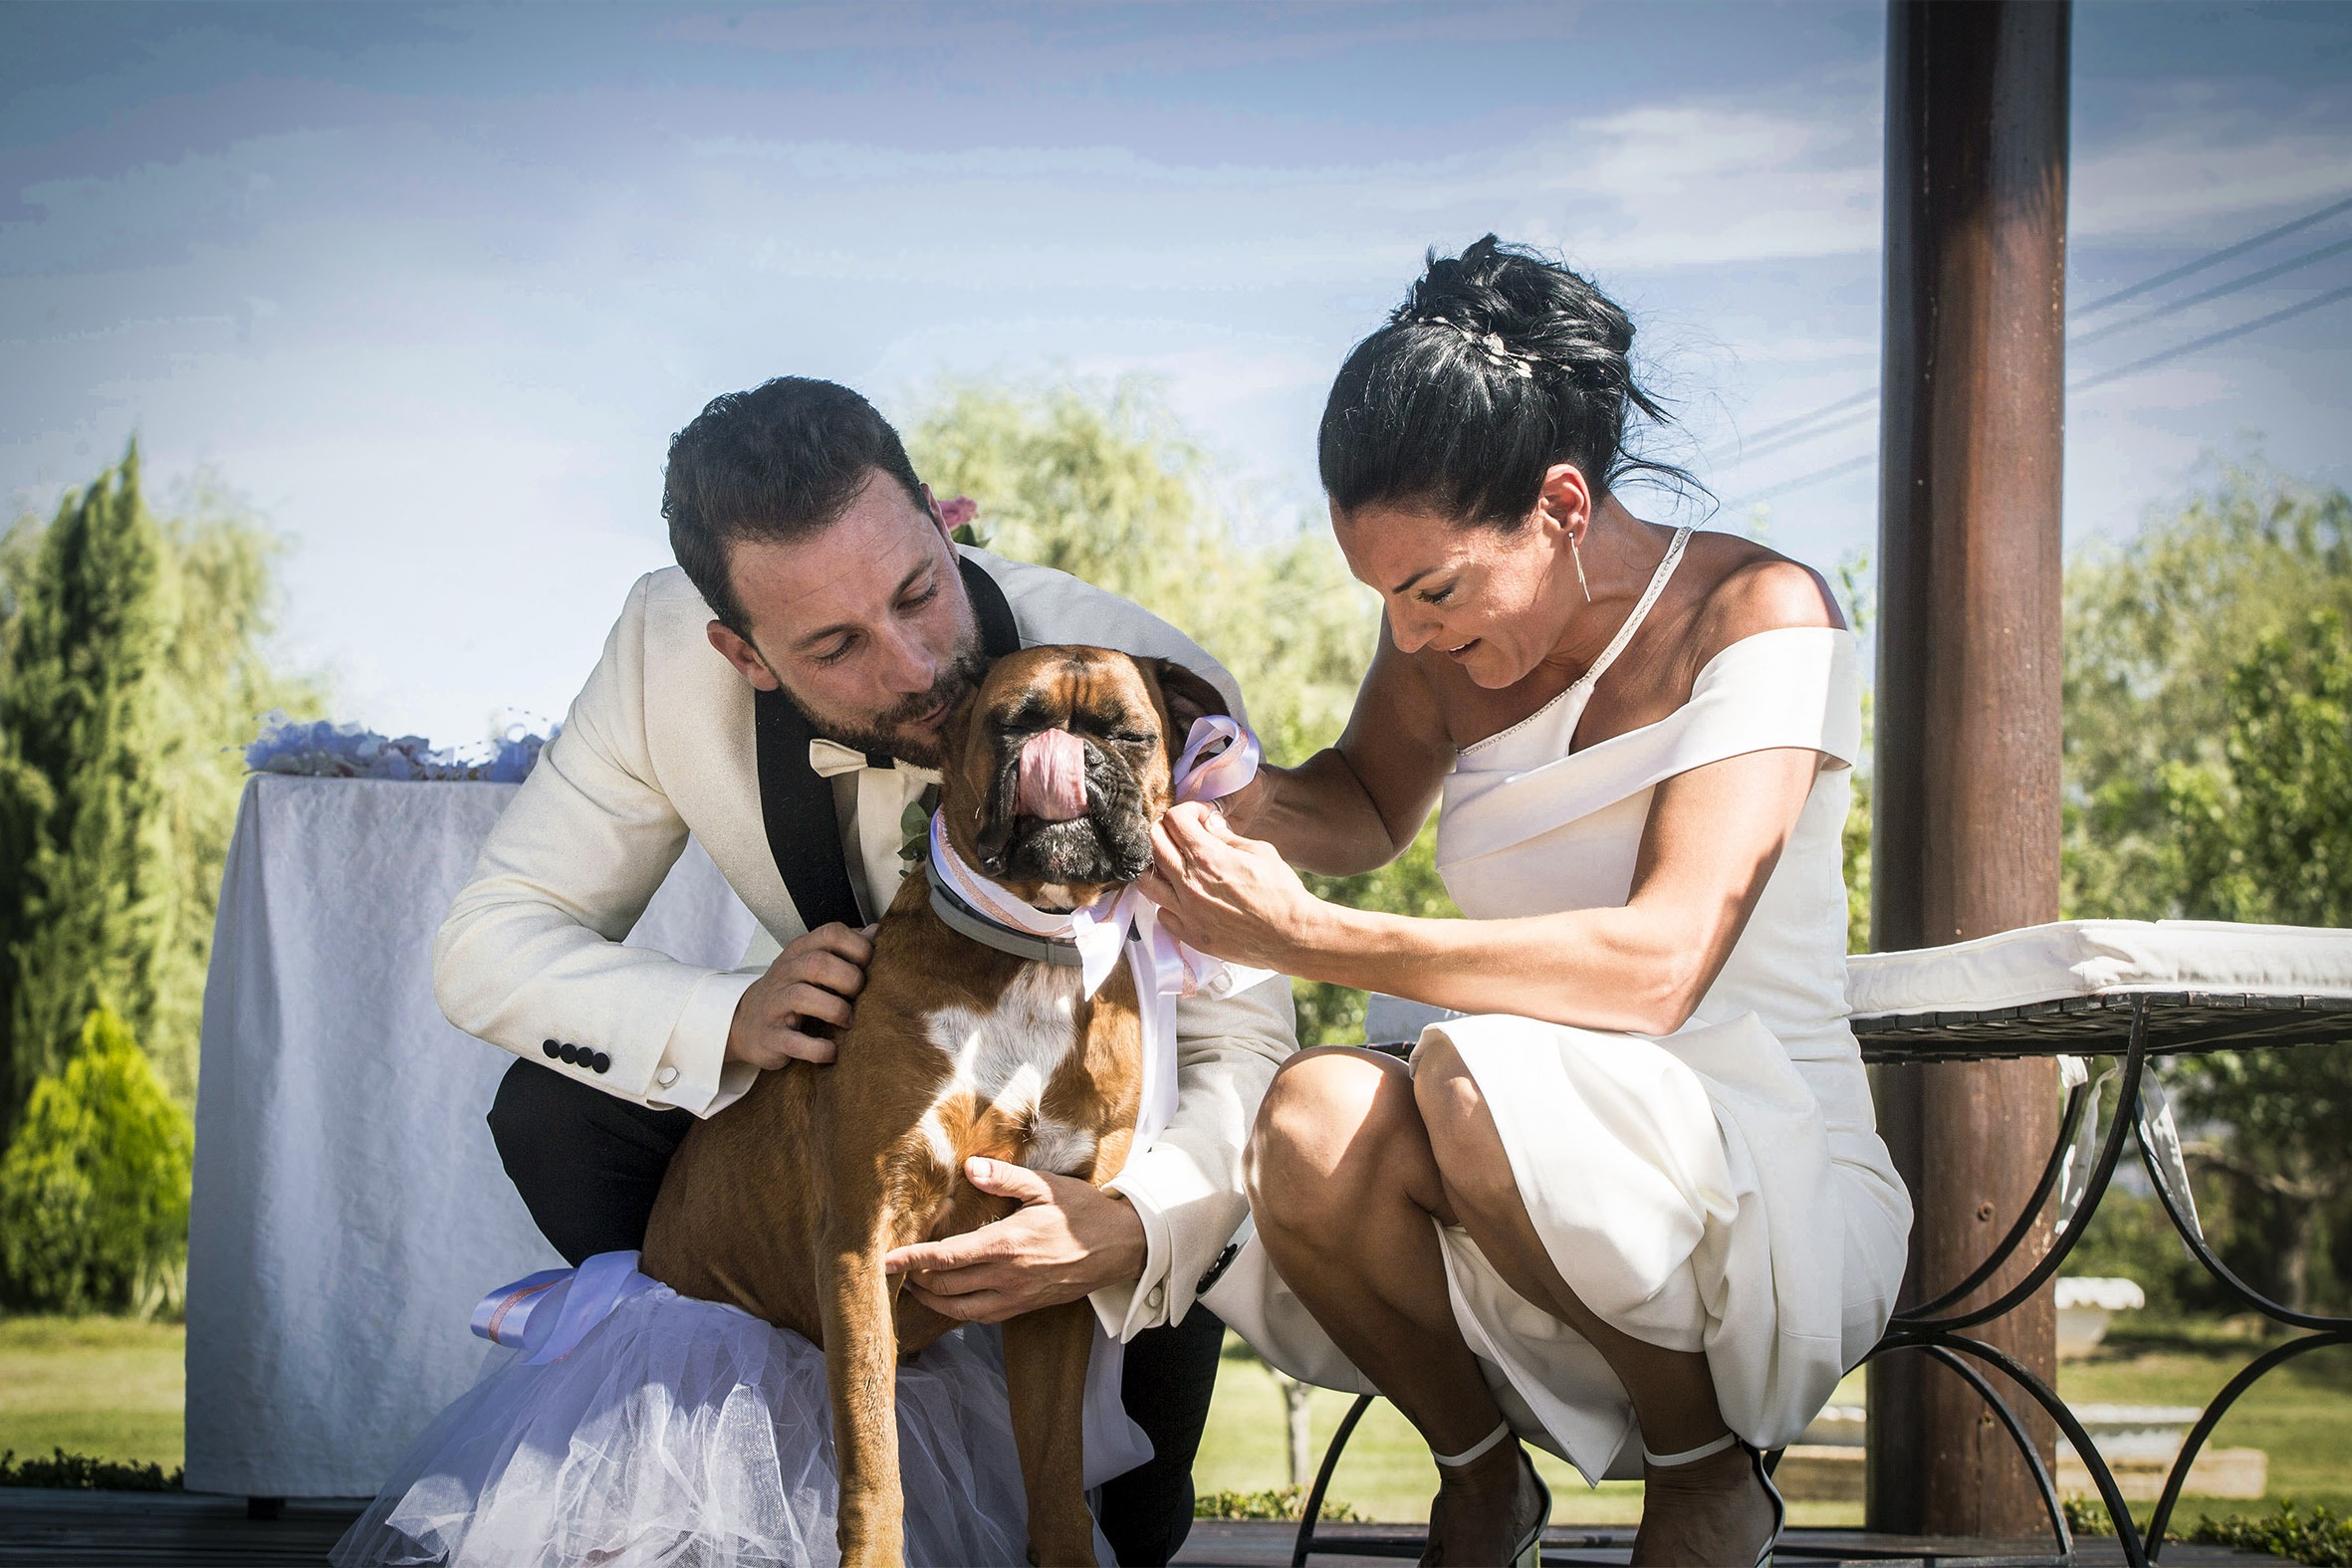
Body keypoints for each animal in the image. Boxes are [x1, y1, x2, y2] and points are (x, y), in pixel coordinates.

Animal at [644, 644, 1232, 1560]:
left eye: (1131, 733)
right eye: (1012, 722)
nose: (1065, 755)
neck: (1035, 950)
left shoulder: (1052, 1270)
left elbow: (1056, 1472)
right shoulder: (863, 1244)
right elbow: (874, 1459)